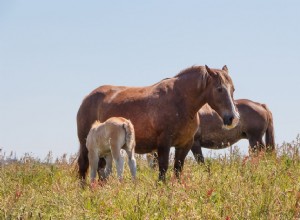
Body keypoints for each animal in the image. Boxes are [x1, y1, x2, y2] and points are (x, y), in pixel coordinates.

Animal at [77, 65, 239, 182]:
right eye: (219, 89)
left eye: (233, 89)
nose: (233, 118)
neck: (180, 102)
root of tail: (87, 97)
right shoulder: (164, 143)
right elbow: (163, 167)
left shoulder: (185, 144)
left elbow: (178, 168)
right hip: (87, 144)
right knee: (84, 165)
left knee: (100, 167)